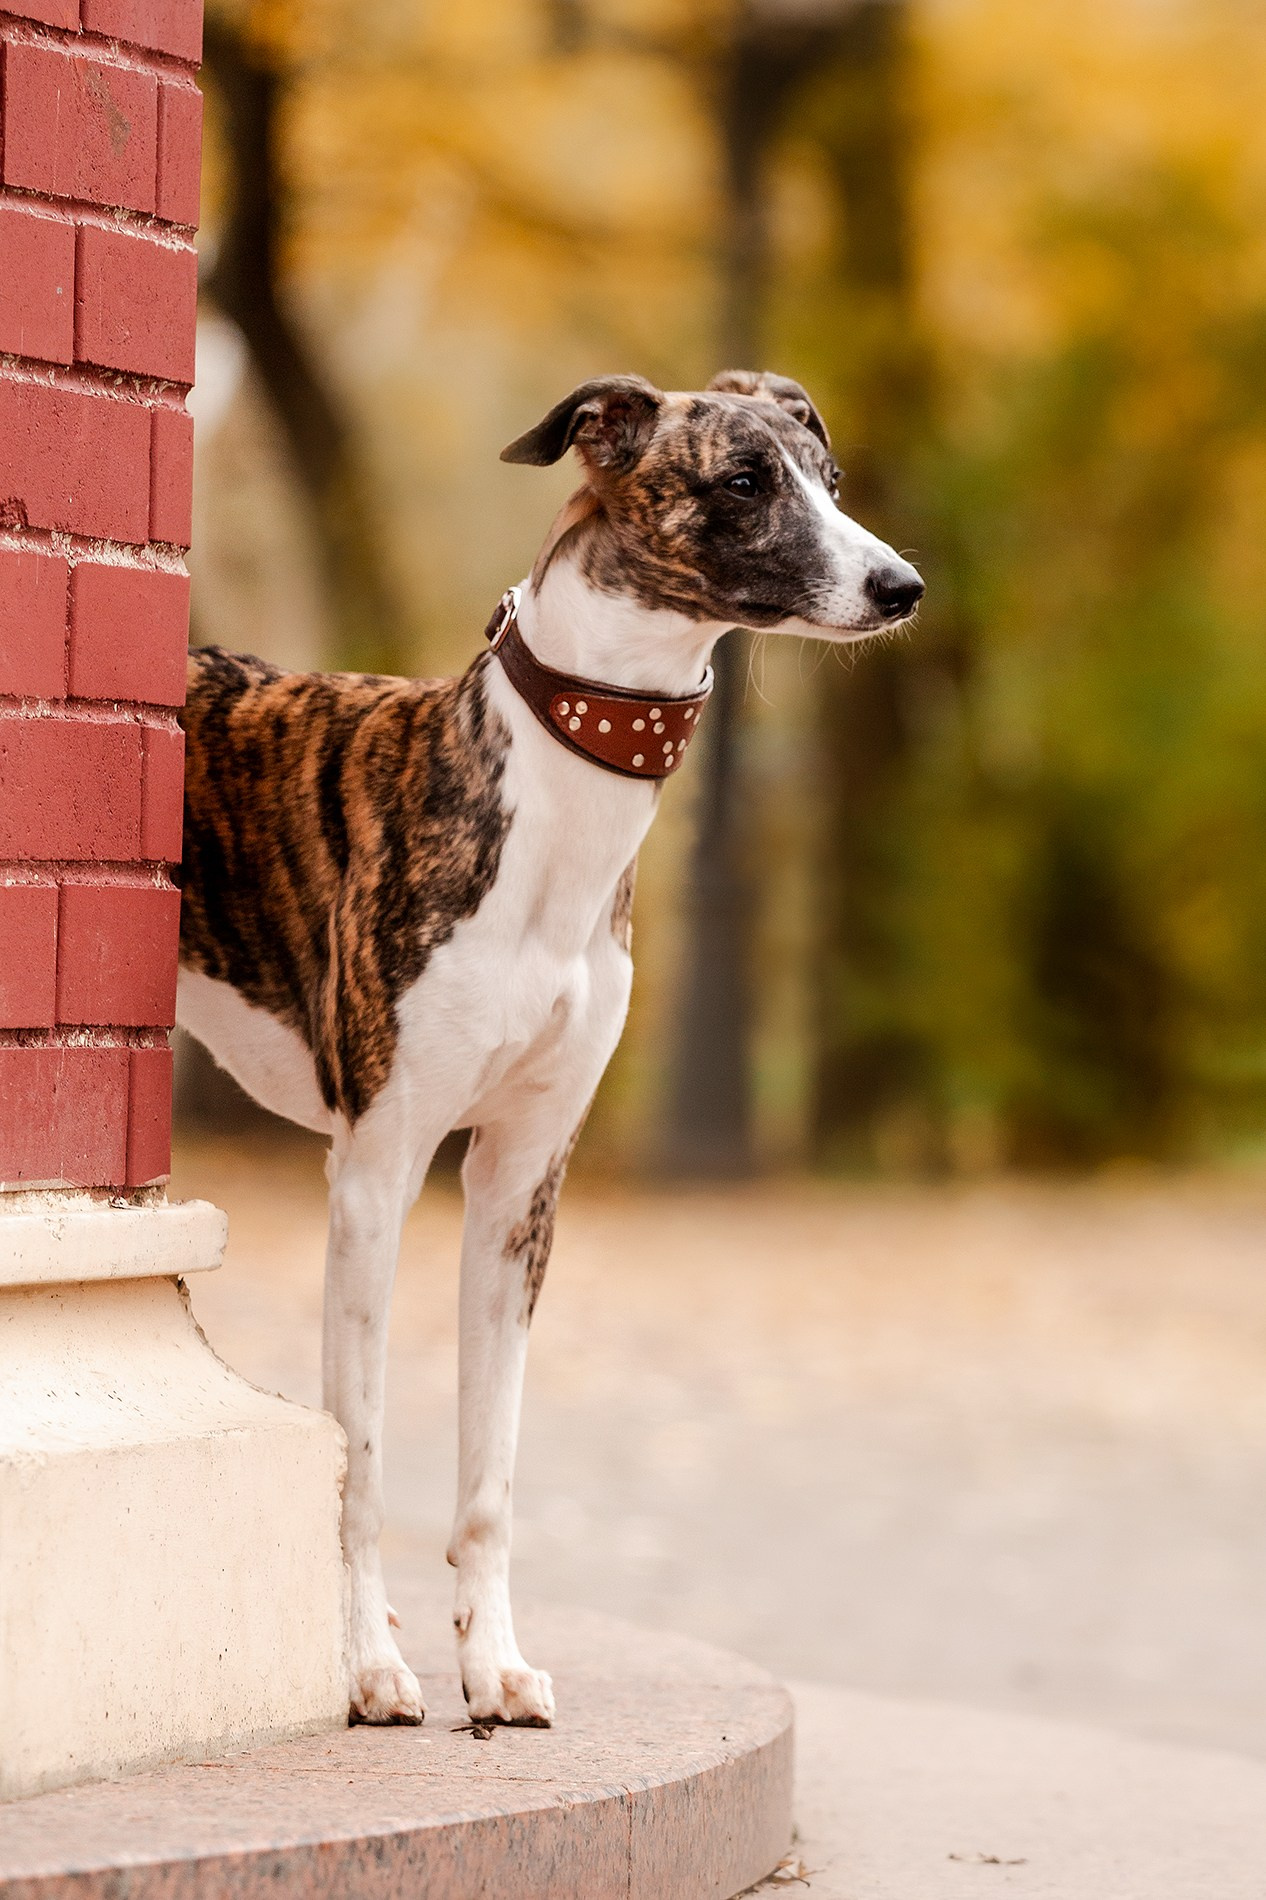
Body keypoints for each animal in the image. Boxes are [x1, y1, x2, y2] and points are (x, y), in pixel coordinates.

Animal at [175, 369, 924, 1727]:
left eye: (830, 480)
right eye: (746, 480)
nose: (903, 586)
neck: (556, 818)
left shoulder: (520, 1180)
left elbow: (491, 1471)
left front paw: (492, 1666)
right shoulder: (375, 1173)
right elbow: (360, 1456)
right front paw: (365, 1665)